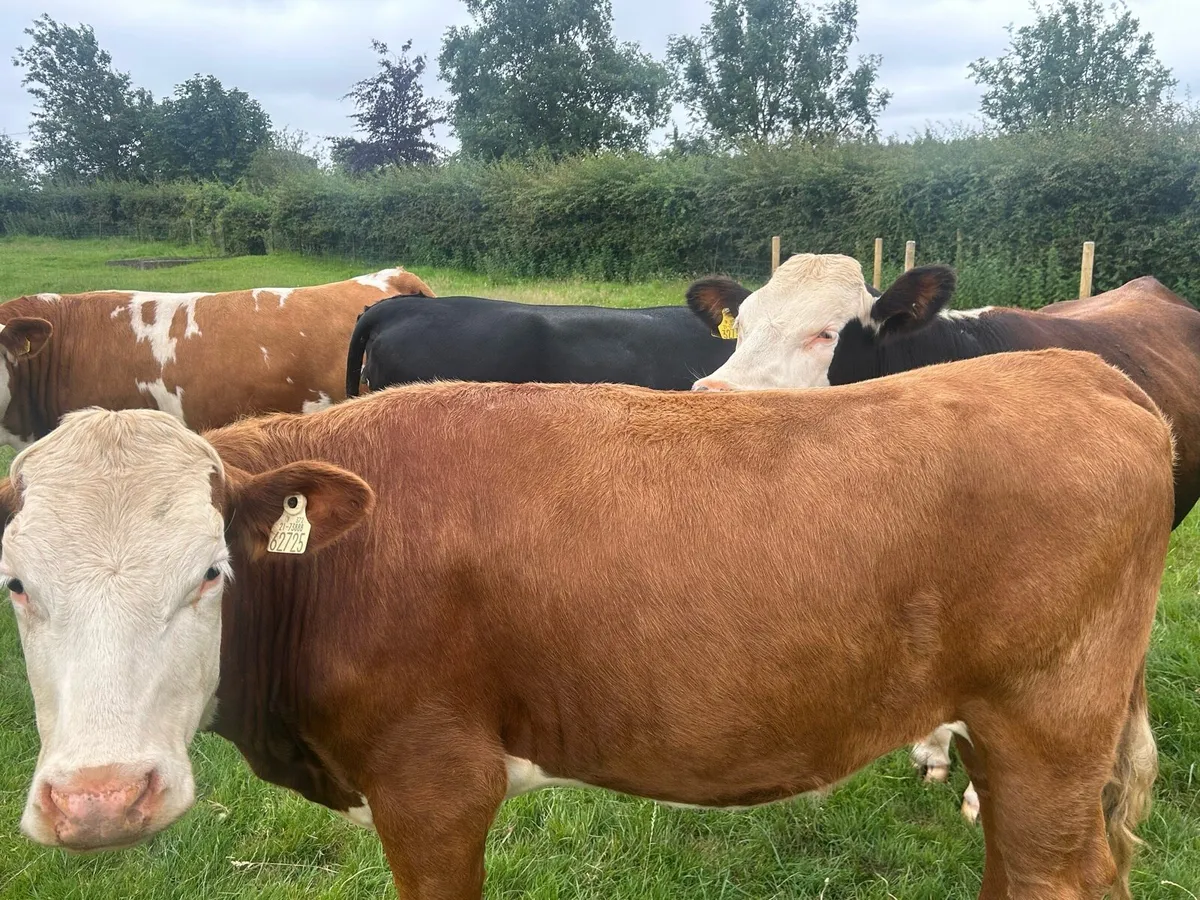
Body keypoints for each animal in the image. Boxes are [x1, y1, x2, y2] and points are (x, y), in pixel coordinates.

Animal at [4, 349, 1172, 899]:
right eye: (14, 585)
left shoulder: (433, 781)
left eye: (210, 573)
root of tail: (1075, 367)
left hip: (1048, 725)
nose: (99, 801)